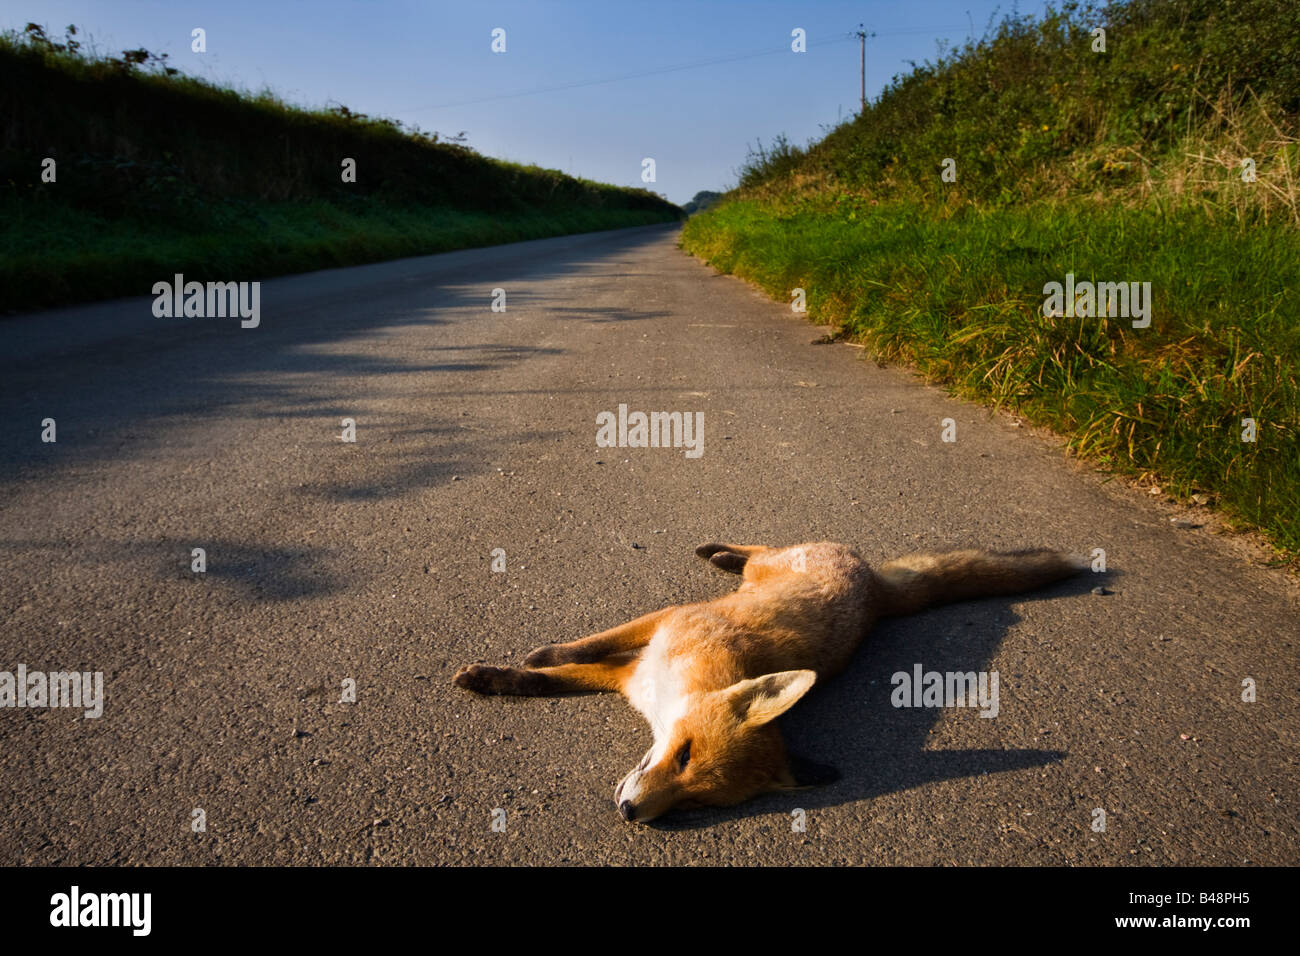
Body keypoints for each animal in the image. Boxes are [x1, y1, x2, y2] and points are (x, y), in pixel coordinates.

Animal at [454, 541, 1086, 827]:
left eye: (695, 800)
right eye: (683, 754)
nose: (631, 813)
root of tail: (876, 591)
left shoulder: (630, 675)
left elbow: (552, 681)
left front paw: (500, 679)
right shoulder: (661, 627)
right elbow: (576, 651)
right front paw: (526, 661)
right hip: (770, 565)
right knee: (757, 548)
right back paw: (720, 552)